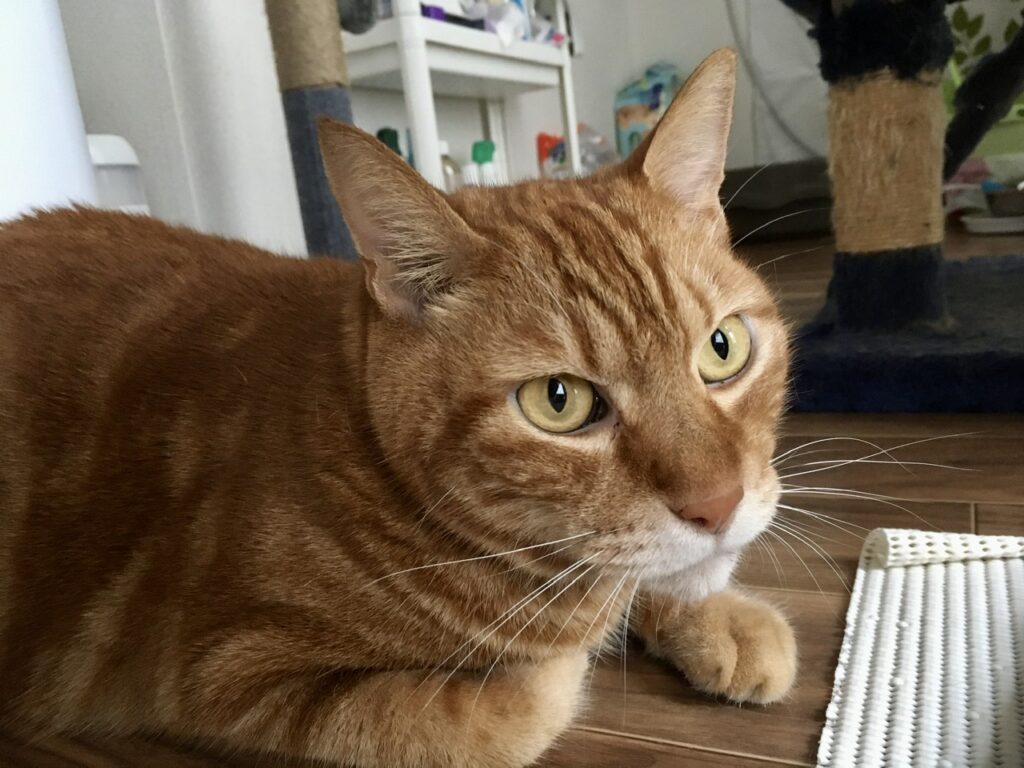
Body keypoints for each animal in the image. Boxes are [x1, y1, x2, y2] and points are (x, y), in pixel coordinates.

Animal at [0, 49, 795, 767]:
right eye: (559, 402)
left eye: (722, 348)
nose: (718, 505)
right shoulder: (227, 671)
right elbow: (510, 710)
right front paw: (571, 654)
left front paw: (716, 616)